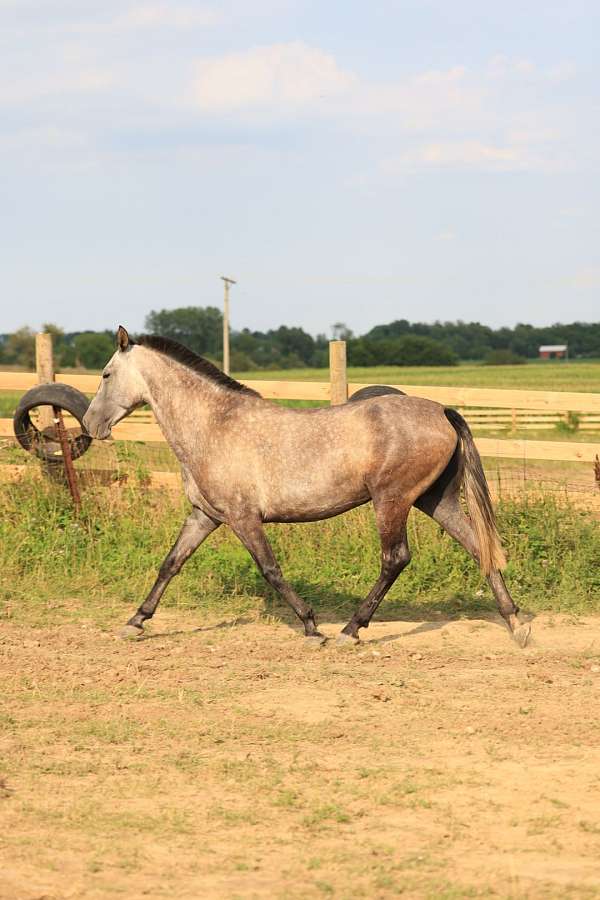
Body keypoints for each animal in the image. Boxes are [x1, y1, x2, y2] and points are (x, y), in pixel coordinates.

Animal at [81, 326, 528, 652]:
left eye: (105, 374)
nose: (90, 426)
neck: (215, 424)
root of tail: (442, 411)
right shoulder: (205, 515)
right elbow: (170, 564)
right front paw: (135, 622)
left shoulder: (243, 518)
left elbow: (271, 571)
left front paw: (313, 628)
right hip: (437, 501)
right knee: (479, 548)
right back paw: (515, 624)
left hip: (392, 500)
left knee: (395, 559)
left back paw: (351, 630)